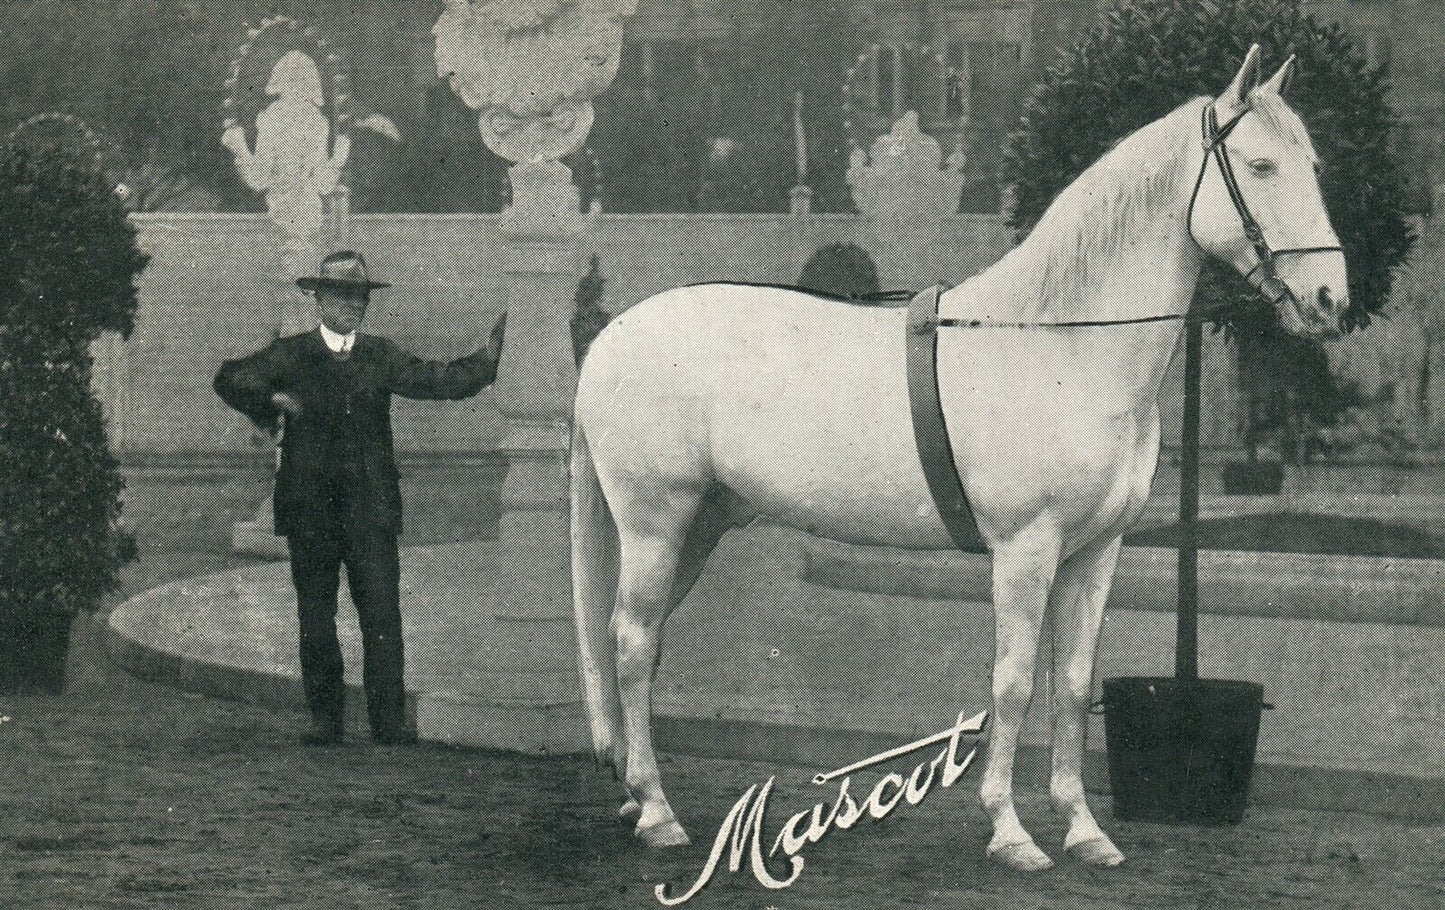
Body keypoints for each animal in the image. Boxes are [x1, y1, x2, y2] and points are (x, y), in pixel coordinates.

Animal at [569, 46, 1347, 872]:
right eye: (1260, 165)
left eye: (1312, 163)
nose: (1329, 298)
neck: (1061, 345)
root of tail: (609, 339)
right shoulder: (1025, 549)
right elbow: (1012, 684)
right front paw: (1009, 832)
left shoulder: (1094, 551)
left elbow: (1071, 684)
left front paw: (1084, 831)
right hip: (656, 522)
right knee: (630, 642)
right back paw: (657, 812)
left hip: (700, 527)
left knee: (639, 644)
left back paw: (635, 795)